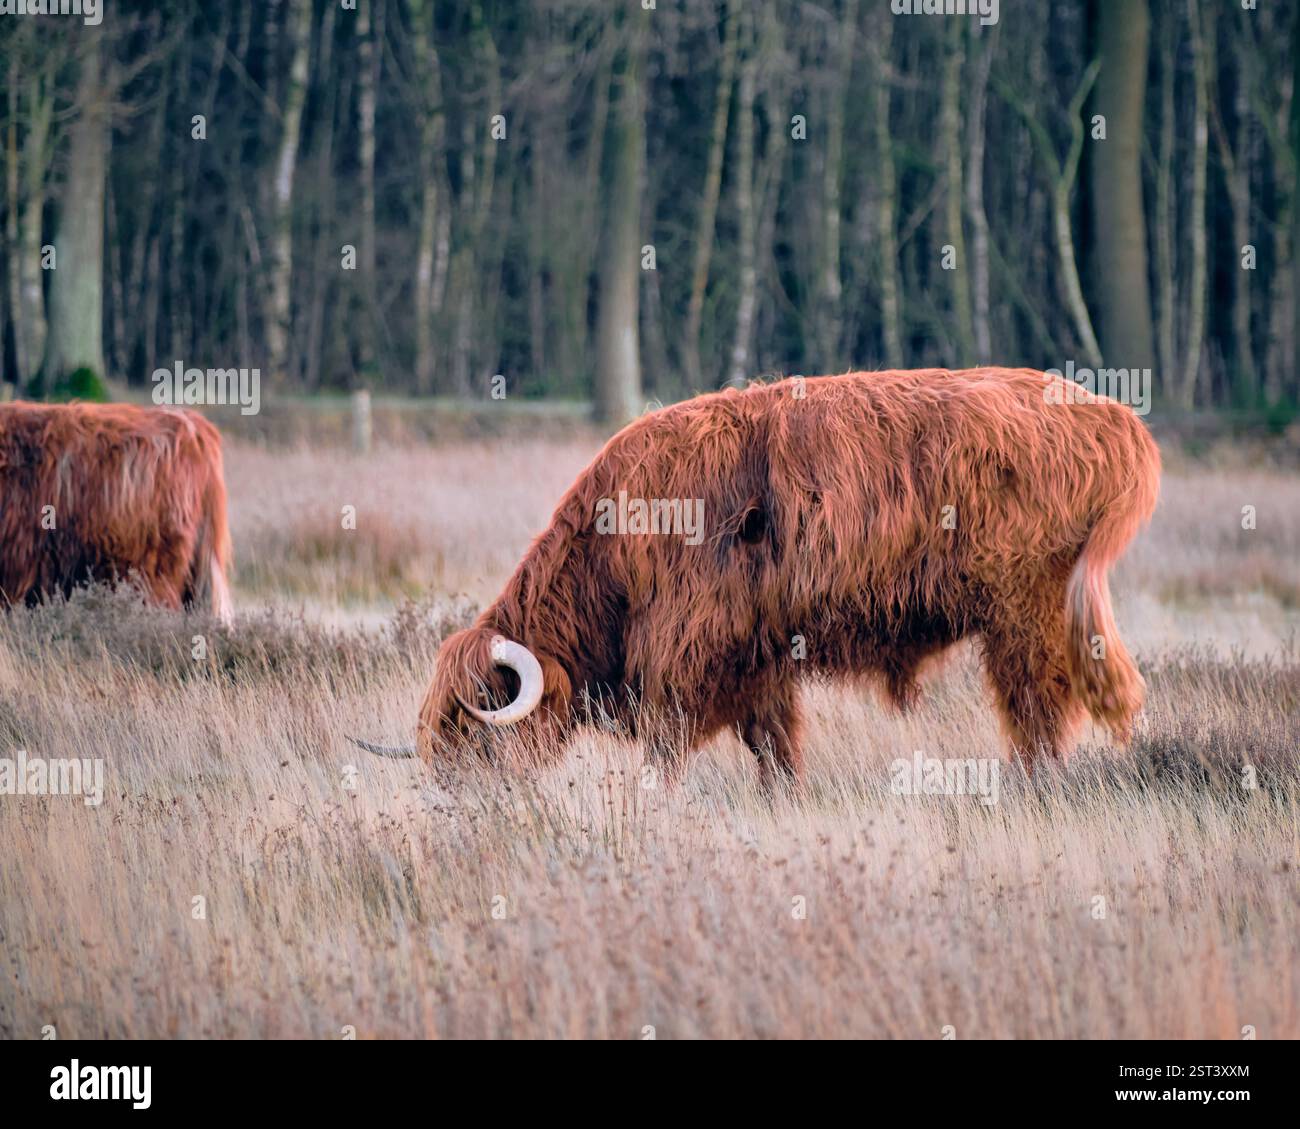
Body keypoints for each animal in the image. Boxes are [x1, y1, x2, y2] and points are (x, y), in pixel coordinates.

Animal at [353, 368, 1159, 788]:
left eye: (478, 726)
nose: (456, 799)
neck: (610, 553)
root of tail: (1112, 418)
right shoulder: (763, 656)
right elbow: (773, 742)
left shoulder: (686, 655)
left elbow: (670, 746)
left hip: (1025, 610)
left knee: (1038, 706)